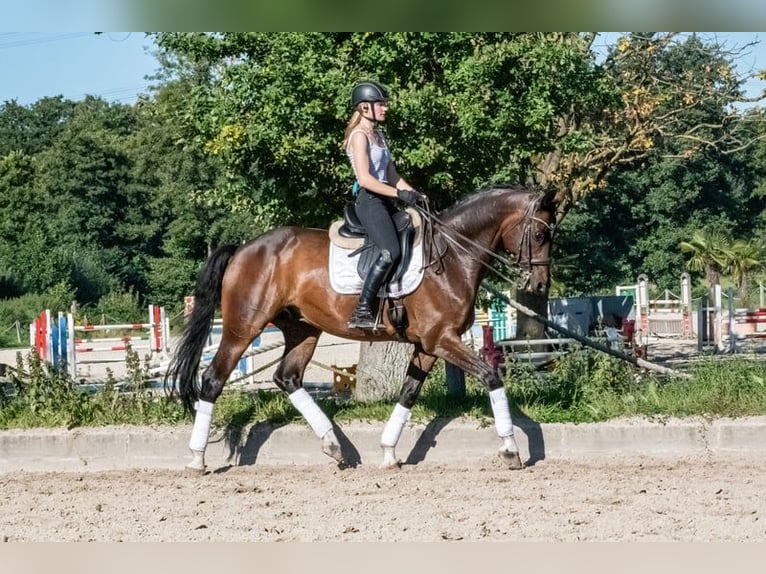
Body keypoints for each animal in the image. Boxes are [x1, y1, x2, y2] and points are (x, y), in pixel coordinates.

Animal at [165, 187, 556, 474]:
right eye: (539, 233)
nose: (539, 285)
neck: (452, 256)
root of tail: (244, 249)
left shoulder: (429, 346)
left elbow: (408, 393)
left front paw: (388, 452)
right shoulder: (442, 340)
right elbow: (491, 376)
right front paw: (511, 450)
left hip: (303, 330)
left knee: (287, 377)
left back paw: (334, 446)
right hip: (243, 328)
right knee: (213, 380)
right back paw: (196, 459)